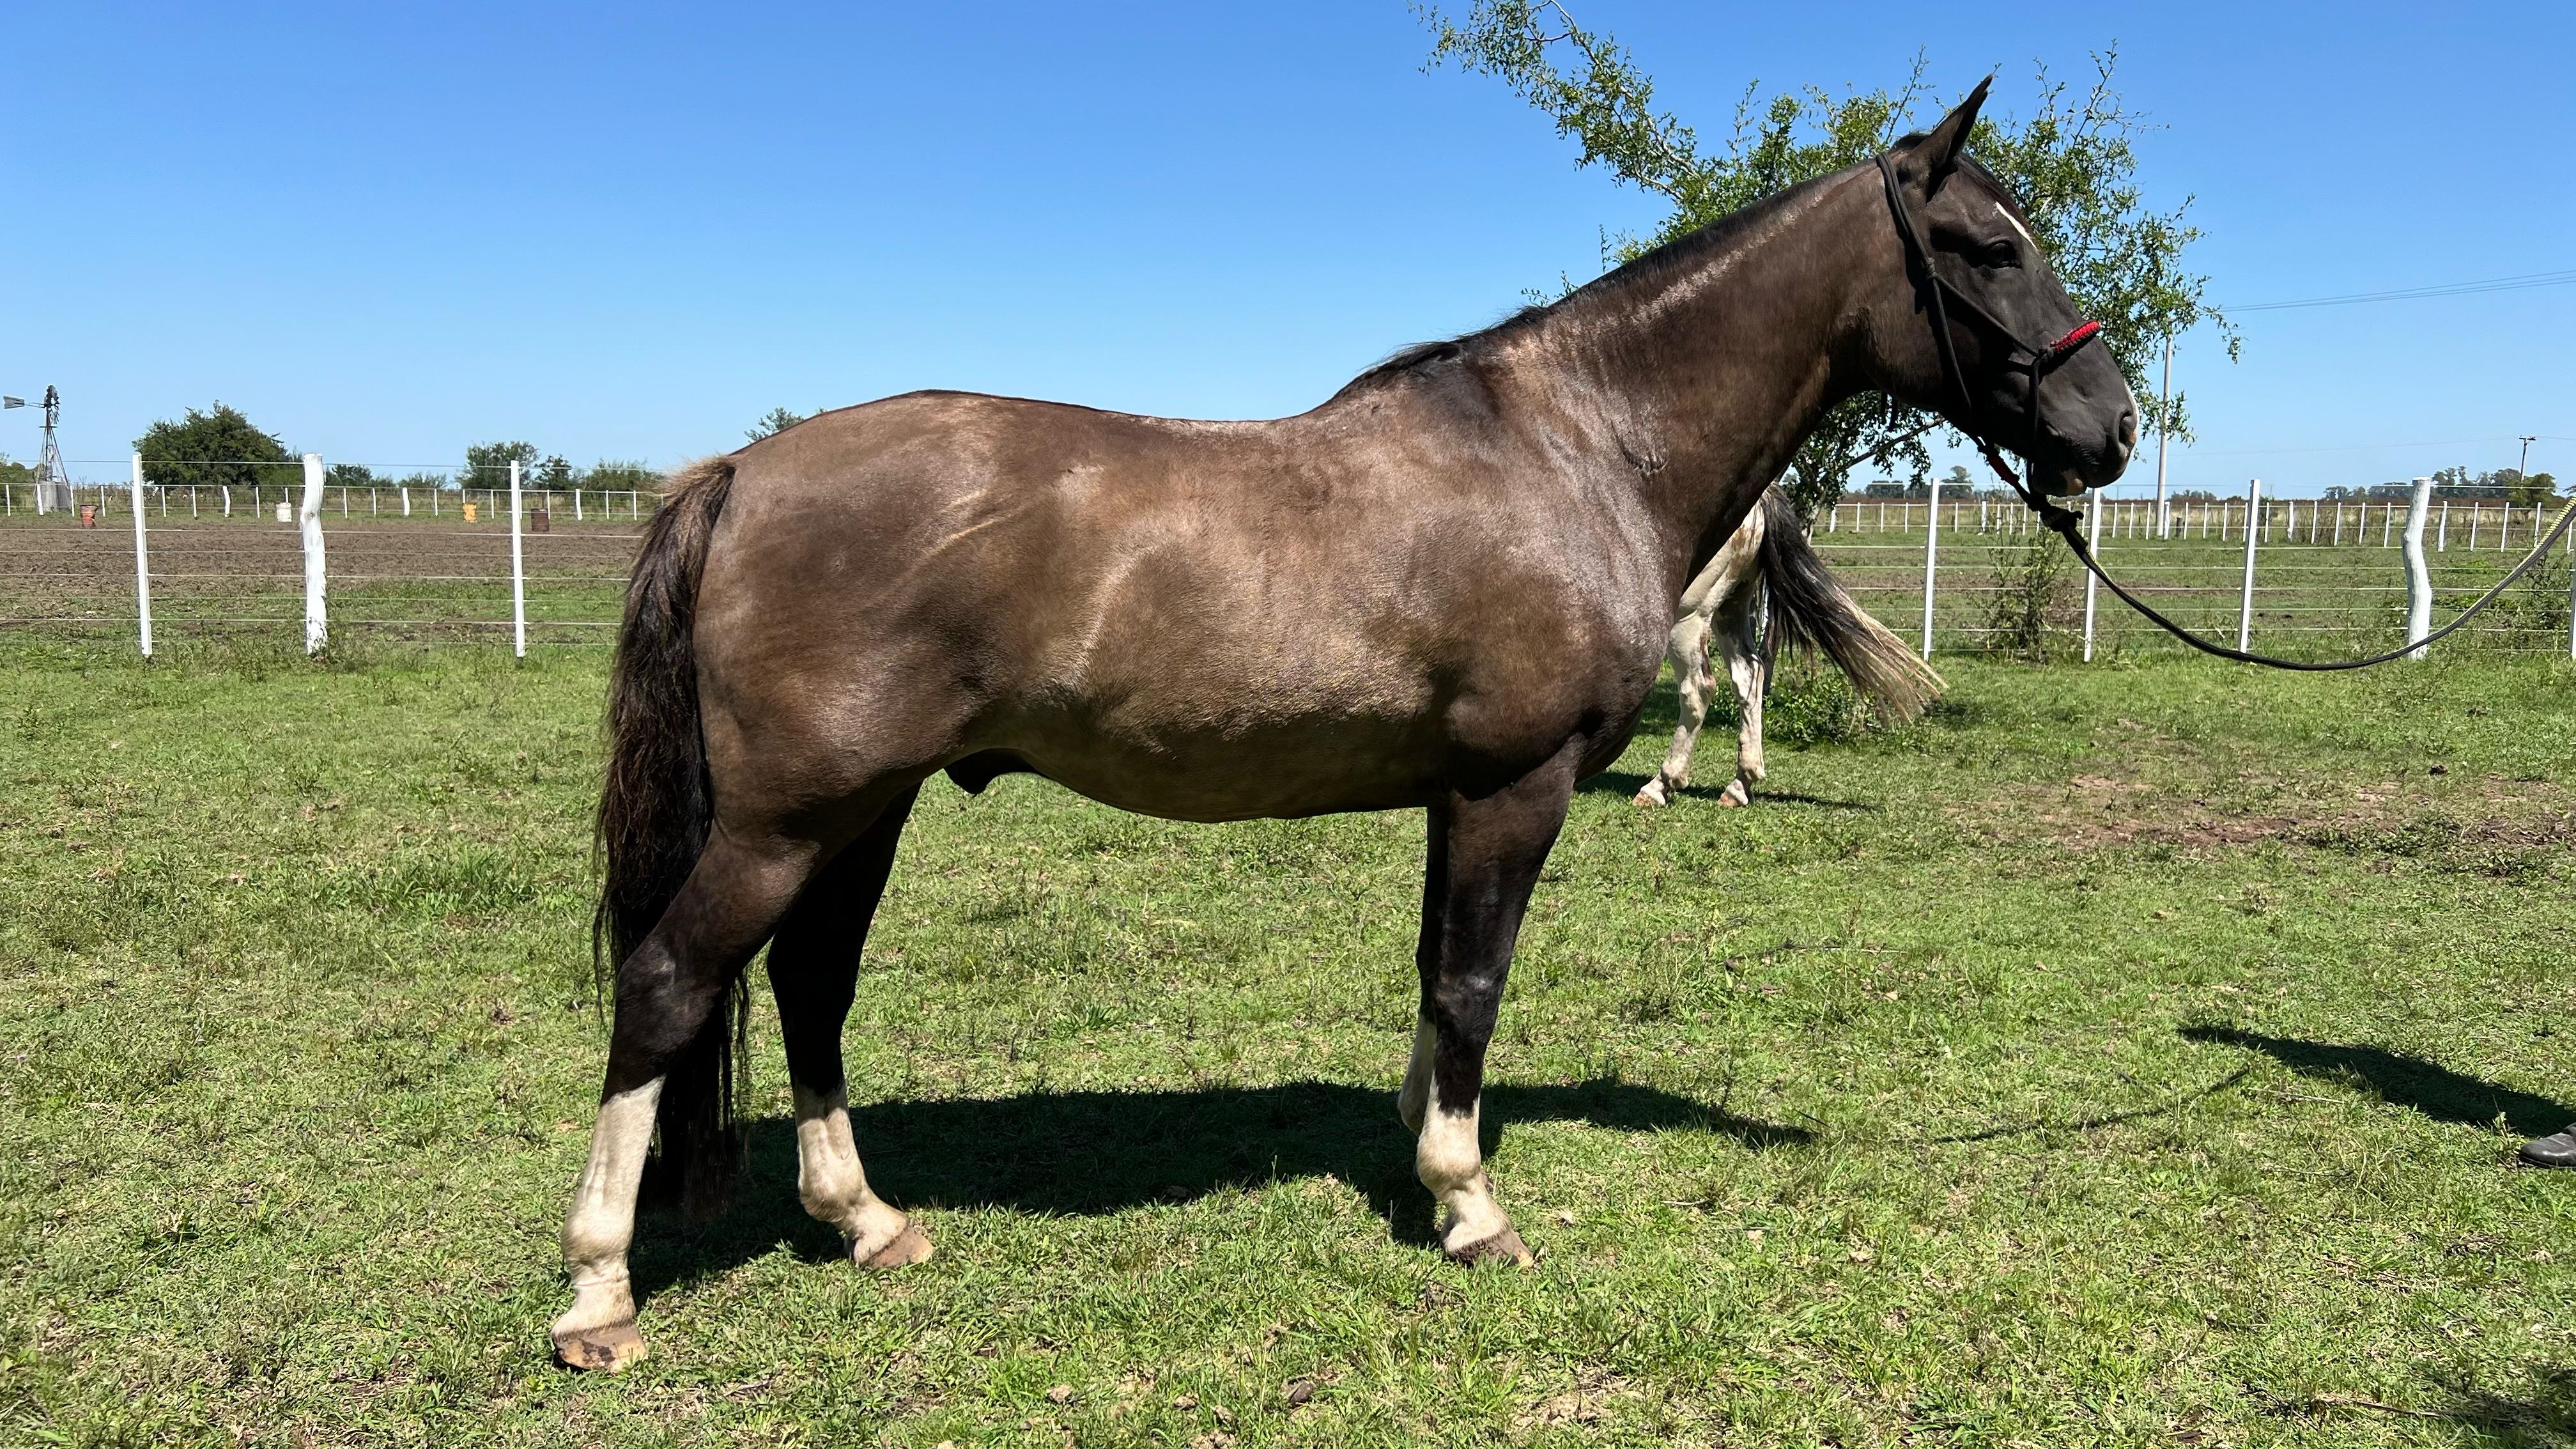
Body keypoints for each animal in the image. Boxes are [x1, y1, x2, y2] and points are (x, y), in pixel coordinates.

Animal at [1629, 485, 1941, 809]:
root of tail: (1760, 500)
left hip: (1690, 614)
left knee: (1699, 688)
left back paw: (1660, 786)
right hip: (1731, 606)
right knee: (1750, 675)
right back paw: (1740, 785)